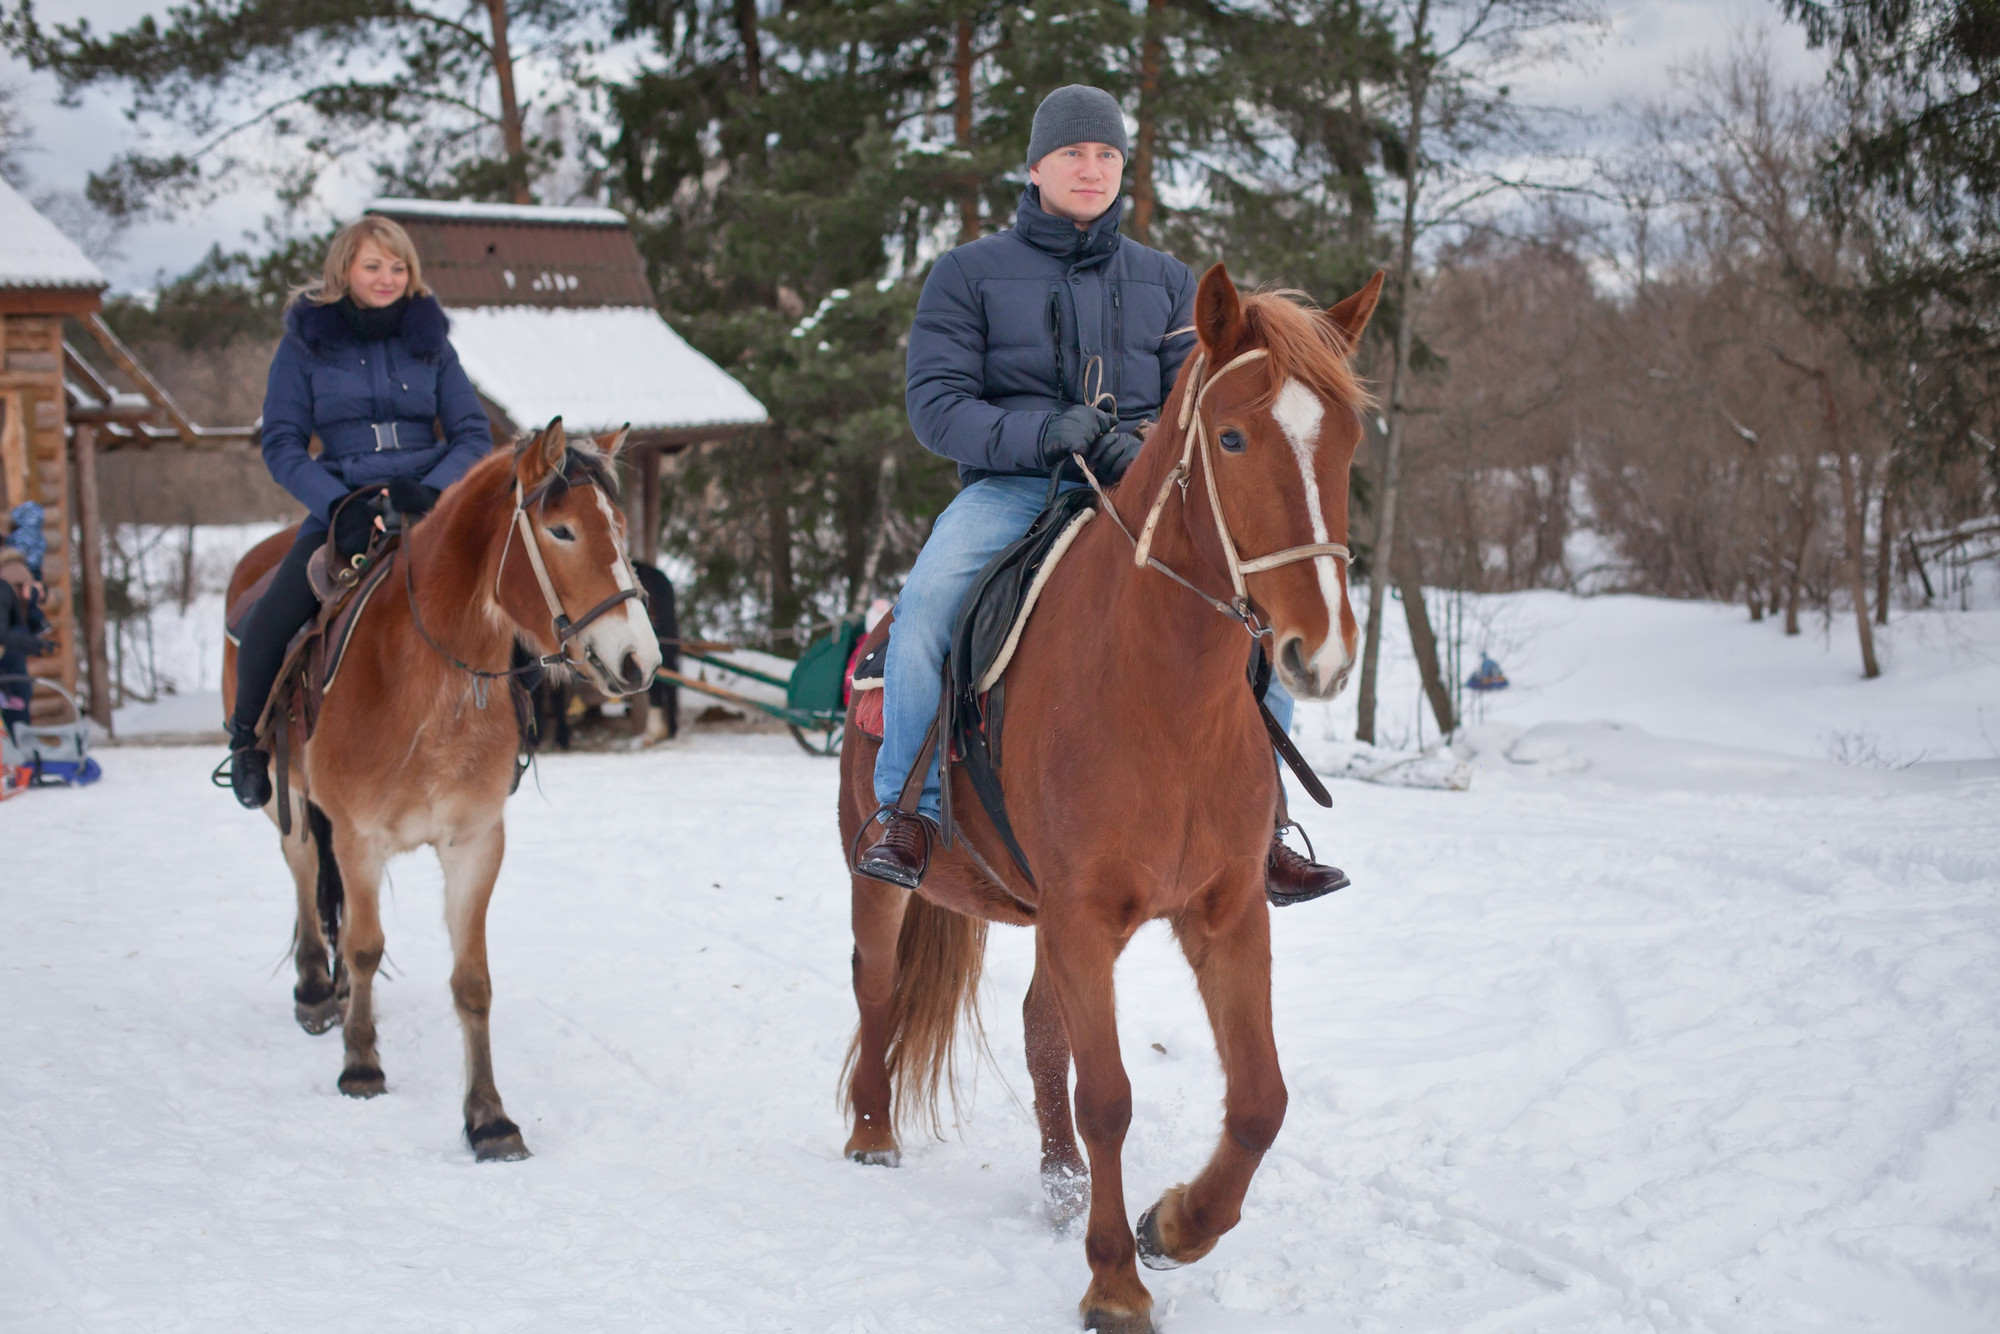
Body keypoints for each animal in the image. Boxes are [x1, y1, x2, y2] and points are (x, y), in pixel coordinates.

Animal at [220, 426, 660, 1160]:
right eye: (562, 530)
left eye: (620, 529)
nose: (640, 661)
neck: (422, 680)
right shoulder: (359, 837)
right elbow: (365, 946)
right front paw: (361, 1065)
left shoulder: (474, 843)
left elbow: (471, 982)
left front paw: (488, 1117)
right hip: (290, 797)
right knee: (306, 870)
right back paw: (315, 990)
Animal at [836, 266, 1384, 1328]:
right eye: (1232, 438)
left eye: (1347, 438)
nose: (1323, 651)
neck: (1160, 699)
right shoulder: (1085, 916)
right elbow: (1110, 1097)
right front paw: (1116, 1283)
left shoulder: (1226, 911)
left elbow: (1260, 1099)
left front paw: (1172, 1226)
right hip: (882, 878)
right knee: (877, 984)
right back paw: (874, 1134)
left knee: (1039, 1032)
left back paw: (1061, 1186)